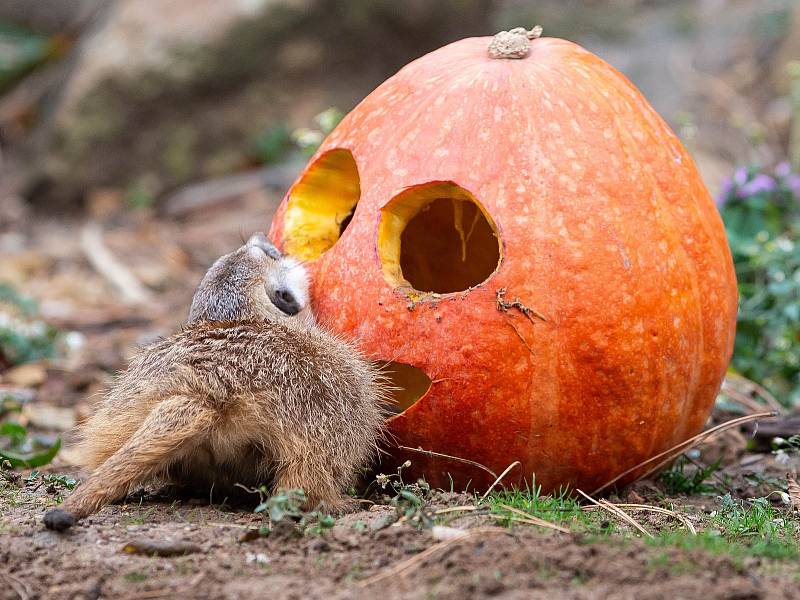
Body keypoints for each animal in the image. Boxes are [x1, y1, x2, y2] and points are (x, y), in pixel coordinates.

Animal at [43, 233, 388, 528]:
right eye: (270, 254)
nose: (263, 238)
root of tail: (205, 393)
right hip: (331, 420)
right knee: (306, 481)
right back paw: (340, 503)